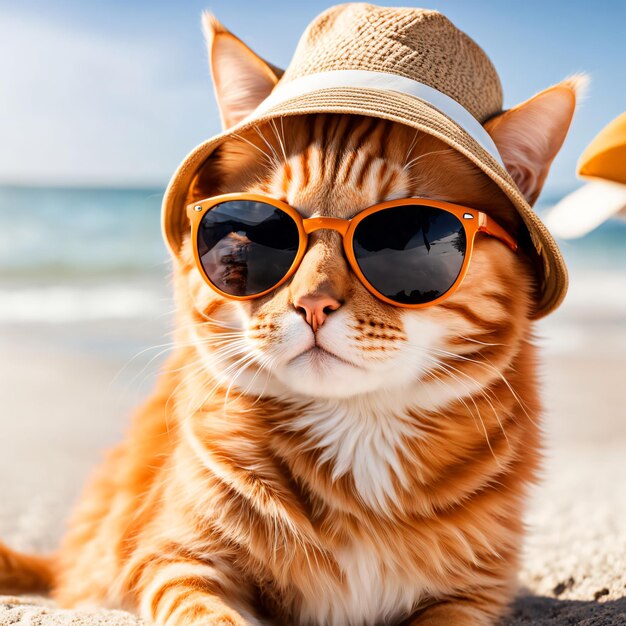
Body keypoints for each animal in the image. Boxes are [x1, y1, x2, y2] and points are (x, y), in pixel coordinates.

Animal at [0, 14, 580, 624]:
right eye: (252, 236)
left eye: (405, 241)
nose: (312, 303)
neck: (359, 438)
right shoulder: (175, 562)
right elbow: (211, 615)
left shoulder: (473, 595)